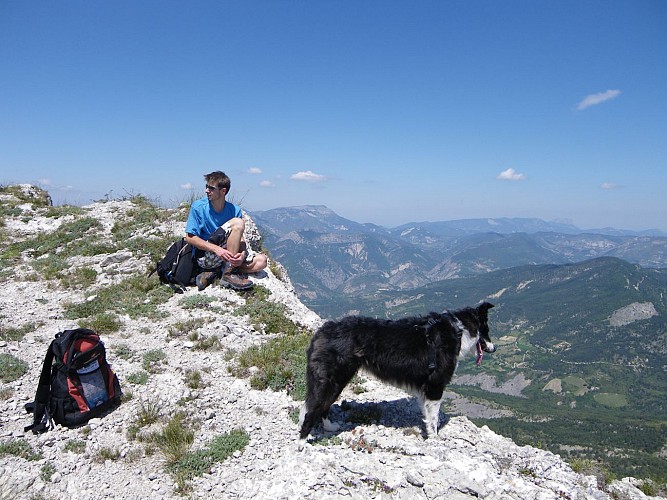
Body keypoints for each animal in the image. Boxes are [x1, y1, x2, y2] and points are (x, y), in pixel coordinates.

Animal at [298, 300, 496, 438]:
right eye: (486, 330)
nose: (494, 349)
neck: (459, 330)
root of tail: (323, 330)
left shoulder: (425, 389)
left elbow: (427, 415)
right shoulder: (435, 385)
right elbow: (433, 419)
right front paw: (435, 439)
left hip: (337, 381)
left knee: (321, 407)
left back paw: (330, 427)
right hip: (333, 379)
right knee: (312, 411)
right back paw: (302, 443)